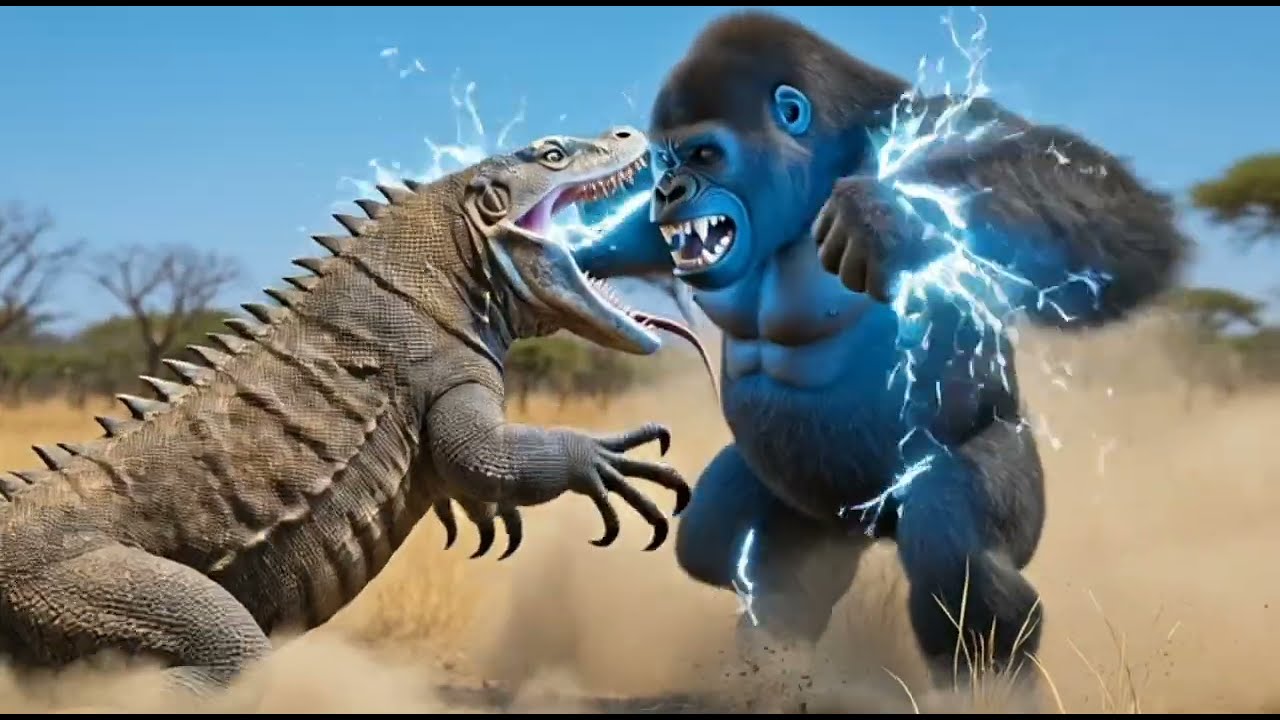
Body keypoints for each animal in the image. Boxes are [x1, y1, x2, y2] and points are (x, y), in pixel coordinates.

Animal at [571, 10, 1190, 688]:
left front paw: (894, 214)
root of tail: (872, 530)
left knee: (957, 558)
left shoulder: (930, 126)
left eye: (705, 154)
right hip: (811, 514)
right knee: (726, 548)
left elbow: (1106, 205)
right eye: (664, 160)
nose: (668, 190)